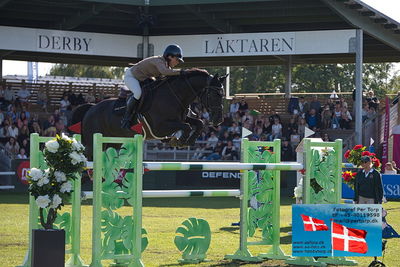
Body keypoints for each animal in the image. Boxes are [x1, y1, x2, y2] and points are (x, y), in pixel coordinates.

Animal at [70, 70, 227, 159]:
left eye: (223, 94)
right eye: (214, 94)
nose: (218, 120)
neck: (174, 95)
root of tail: (91, 108)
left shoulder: (180, 118)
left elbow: (198, 123)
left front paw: (188, 141)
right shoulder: (160, 127)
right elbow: (187, 126)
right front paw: (179, 141)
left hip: (113, 143)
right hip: (92, 143)